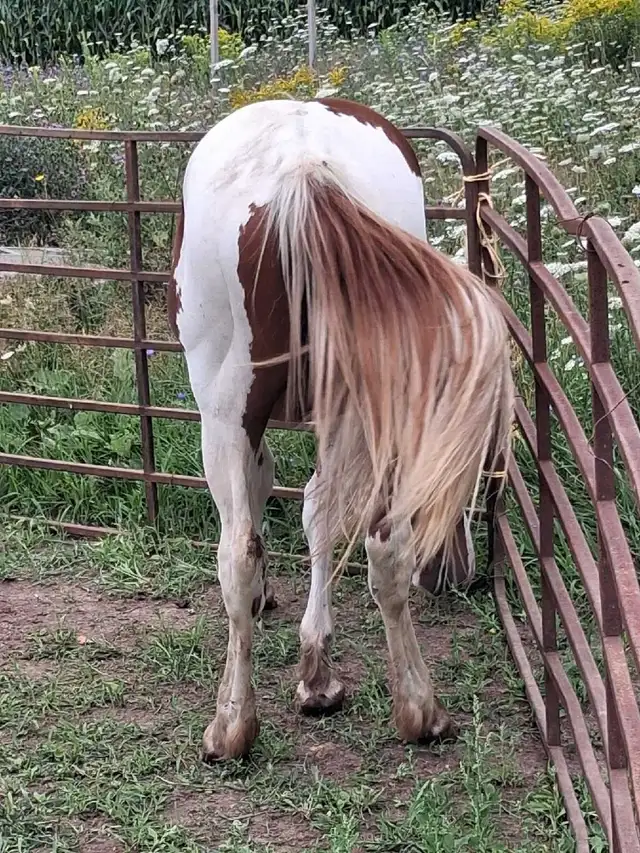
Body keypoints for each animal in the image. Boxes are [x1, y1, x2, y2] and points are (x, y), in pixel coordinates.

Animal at [168, 96, 514, 762]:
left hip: (225, 414)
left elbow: (279, 503)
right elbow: (318, 513)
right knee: (383, 544)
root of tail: (303, 170)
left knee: (238, 551)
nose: (455, 575)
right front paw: (317, 675)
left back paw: (231, 727)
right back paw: (417, 709)